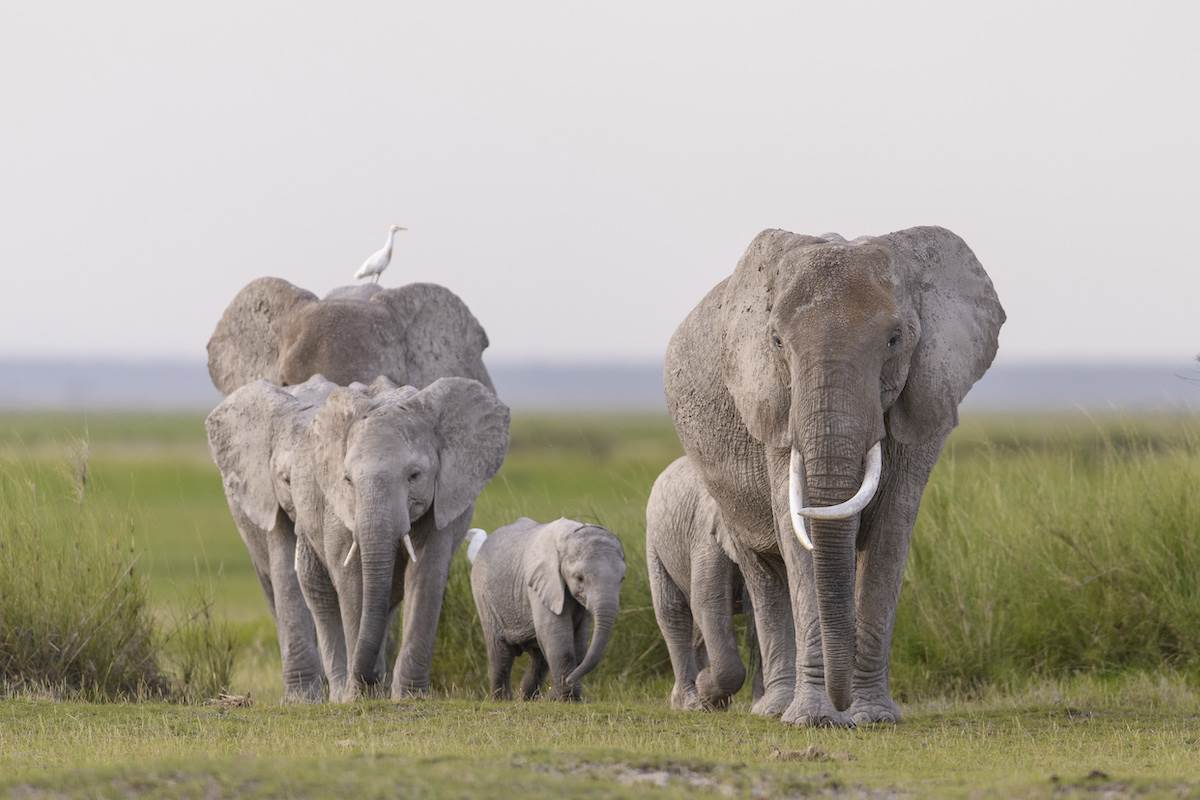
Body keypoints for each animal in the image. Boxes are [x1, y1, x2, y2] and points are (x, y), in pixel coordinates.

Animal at [206, 374, 509, 701]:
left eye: (415, 476)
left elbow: (426, 575)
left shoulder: (442, 497)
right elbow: (346, 578)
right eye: (348, 479)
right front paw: (355, 697)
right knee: (320, 592)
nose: (370, 676)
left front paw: (409, 697)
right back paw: (339, 692)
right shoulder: (307, 502)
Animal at [467, 518, 626, 701]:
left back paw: (527, 699)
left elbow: (579, 642)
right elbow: (557, 636)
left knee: (538, 657)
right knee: (501, 651)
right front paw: (568, 699)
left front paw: (566, 696)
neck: (570, 535)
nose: (569, 681)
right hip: (484, 595)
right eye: (579, 578)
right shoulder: (543, 582)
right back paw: (502, 699)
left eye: (622, 579)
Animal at [647, 455, 762, 711]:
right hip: (655, 542)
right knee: (673, 612)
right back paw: (691, 702)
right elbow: (709, 601)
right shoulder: (708, 536)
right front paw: (705, 690)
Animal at [663, 226, 1004, 727]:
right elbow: (795, 534)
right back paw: (773, 709)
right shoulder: (772, 403)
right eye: (776, 341)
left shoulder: (926, 394)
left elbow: (890, 532)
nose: (841, 705)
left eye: (895, 339)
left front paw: (874, 718)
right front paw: (812, 719)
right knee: (763, 572)